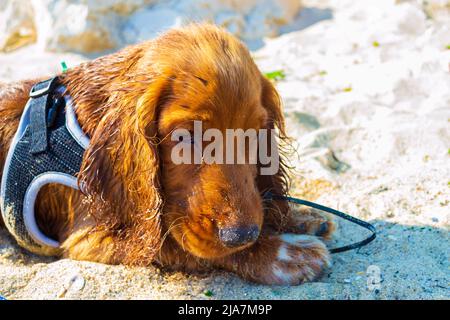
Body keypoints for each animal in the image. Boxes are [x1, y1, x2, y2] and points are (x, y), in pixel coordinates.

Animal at [0, 24, 334, 284]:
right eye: (185, 137)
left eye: (254, 135)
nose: (242, 234)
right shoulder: (91, 238)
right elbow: (175, 243)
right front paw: (283, 254)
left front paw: (297, 216)